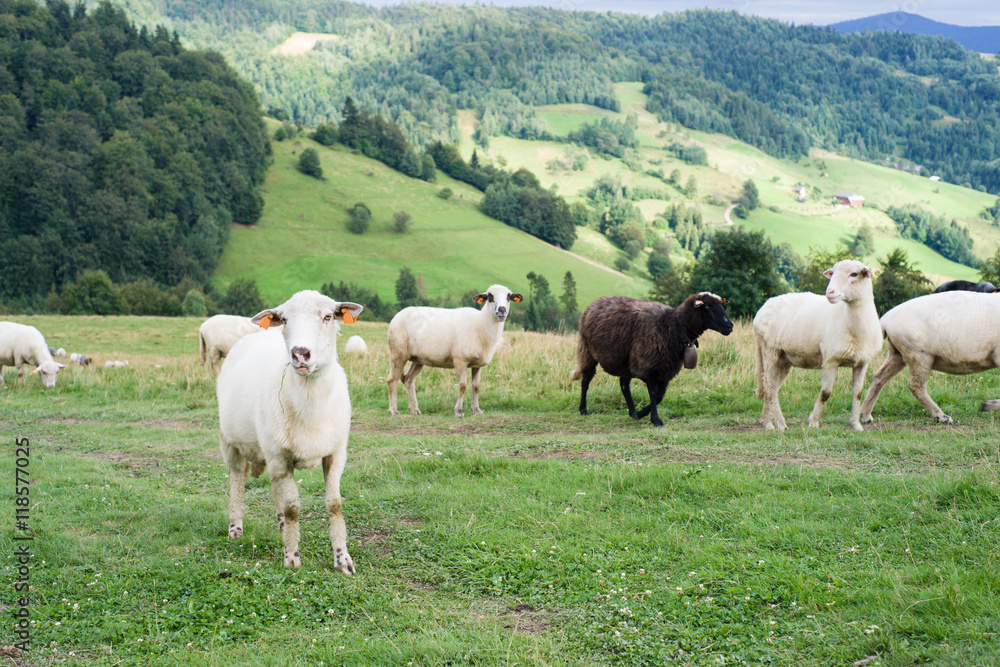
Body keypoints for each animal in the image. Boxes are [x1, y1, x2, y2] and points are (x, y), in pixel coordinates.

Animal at [217, 288, 366, 576]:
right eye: (284, 319)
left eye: (328, 316)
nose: (300, 353)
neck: (310, 403)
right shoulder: (278, 457)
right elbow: (293, 507)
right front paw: (291, 557)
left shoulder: (335, 453)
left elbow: (334, 504)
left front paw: (342, 558)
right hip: (231, 443)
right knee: (238, 480)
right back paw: (235, 527)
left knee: (275, 488)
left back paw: (281, 526)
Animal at [386, 284, 524, 418]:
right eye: (490, 296)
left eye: (508, 297)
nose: (502, 310)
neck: (480, 323)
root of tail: (398, 315)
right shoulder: (460, 360)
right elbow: (462, 386)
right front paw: (458, 411)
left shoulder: (477, 364)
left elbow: (476, 387)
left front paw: (476, 410)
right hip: (398, 353)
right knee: (392, 380)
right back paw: (393, 411)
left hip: (418, 358)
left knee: (408, 379)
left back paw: (414, 409)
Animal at [572, 292, 736, 428]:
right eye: (707, 306)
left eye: (721, 305)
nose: (730, 326)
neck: (674, 327)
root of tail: (595, 302)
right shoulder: (649, 365)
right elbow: (653, 394)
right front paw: (655, 420)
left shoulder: (666, 370)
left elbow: (659, 396)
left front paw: (641, 413)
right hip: (587, 352)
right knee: (586, 381)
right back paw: (583, 409)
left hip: (625, 362)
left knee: (624, 385)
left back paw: (633, 411)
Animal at [752, 258, 880, 430]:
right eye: (833, 273)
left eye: (854, 274)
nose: (829, 292)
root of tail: (764, 306)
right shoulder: (830, 360)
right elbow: (826, 393)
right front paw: (813, 422)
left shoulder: (862, 362)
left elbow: (858, 394)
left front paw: (856, 425)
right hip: (770, 349)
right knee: (771, 388)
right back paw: (780, 424)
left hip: (783, 359)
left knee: (769, 386)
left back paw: (767, 422)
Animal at [860, 290, 1000, 426]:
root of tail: (884, 320)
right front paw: (988, 405)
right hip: (918, 353)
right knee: (915, 386)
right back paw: (941, 417)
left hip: (898, 353)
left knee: (879, 377)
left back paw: (865, 416)